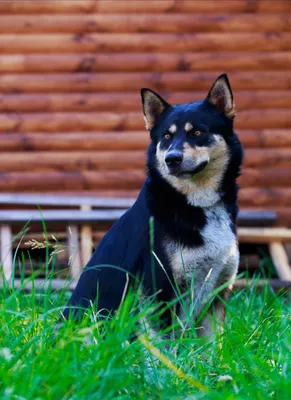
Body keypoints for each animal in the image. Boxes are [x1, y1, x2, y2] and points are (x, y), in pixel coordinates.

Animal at [61, 74, 244, 338]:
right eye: (166, 136)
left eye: (197, 132)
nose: (172, 159)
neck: (197, 204)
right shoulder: (159, 290)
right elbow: (166, 344)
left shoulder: (217, 293)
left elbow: (212, 346)